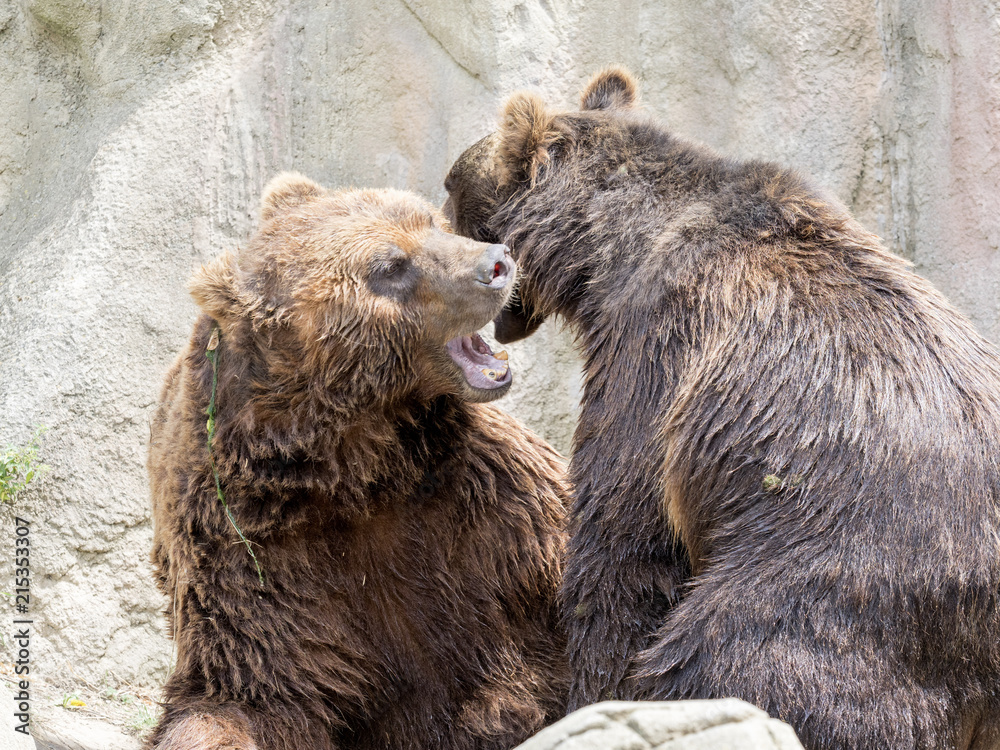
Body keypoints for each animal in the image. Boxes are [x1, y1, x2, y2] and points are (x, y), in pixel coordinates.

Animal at [146, 174, 570, 750]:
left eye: (430, 220)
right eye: (390, 267)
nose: (498, 262)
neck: (360, 470)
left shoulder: (495, 511)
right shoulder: (256, 556)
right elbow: (247, 693)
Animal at [442, 68, 1000, 749]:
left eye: (450, 190)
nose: (435, 215)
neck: (605, 249)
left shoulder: (656, 346)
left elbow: (625, 533)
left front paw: (593, 693)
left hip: (840, 579)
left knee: (732, 661)